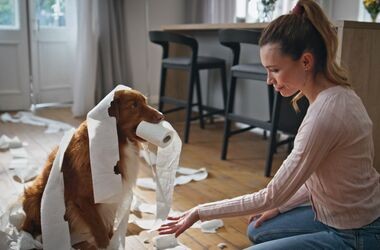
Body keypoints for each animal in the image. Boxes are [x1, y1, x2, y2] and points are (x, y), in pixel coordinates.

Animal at [20, 89, 163, 249]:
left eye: (145, 101)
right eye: (134, 105)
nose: (161, 116)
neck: (117, 143)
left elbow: (107, 224)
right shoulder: (83, 198)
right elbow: (98, 227)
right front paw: (106, 244)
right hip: (33, 198)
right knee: (31, 226)